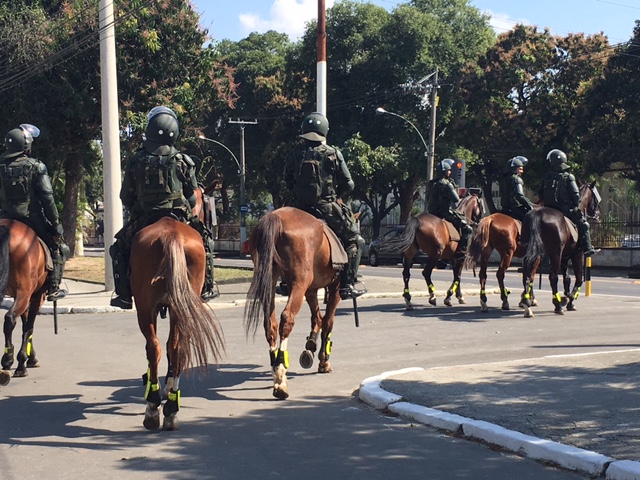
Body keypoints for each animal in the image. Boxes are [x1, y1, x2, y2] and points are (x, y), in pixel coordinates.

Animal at [0, 218, 49, 382]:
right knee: (9, 318)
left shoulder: (22, 296)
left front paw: (30, 358)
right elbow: (29, 327)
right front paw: (23, 363)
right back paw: (8, 360)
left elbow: (25, 325)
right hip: (25, 291)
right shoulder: (36, 296)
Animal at [129, 185, 224, 432]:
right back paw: (171, 410)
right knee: (176, 347)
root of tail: (170, 235)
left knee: (155, 347)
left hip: (145, 308)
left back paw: (153, 408)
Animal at [245, 208, 344, 400]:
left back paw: (276, 372)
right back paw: (280, 378)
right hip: (299, 282)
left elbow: (317, 318)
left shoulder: (311, 290)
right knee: (287, 318)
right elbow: (328, 322)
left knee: (271, 324)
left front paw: (310, 347)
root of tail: (275, 217)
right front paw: (323, 361)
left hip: (271, 279)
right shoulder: (334, 287)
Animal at [520, 182, 600, 316]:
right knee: (553, 277)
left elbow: (567, 279)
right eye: (595, 197)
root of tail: (537, 214)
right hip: (555, 254)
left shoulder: (564, 258)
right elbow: (579, 279)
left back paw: (526, 303)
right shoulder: (577, 255)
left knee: (527, 274)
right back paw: (557, 305)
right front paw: (570, 299)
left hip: (533, 252)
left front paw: (567, 297)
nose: (597, 213)